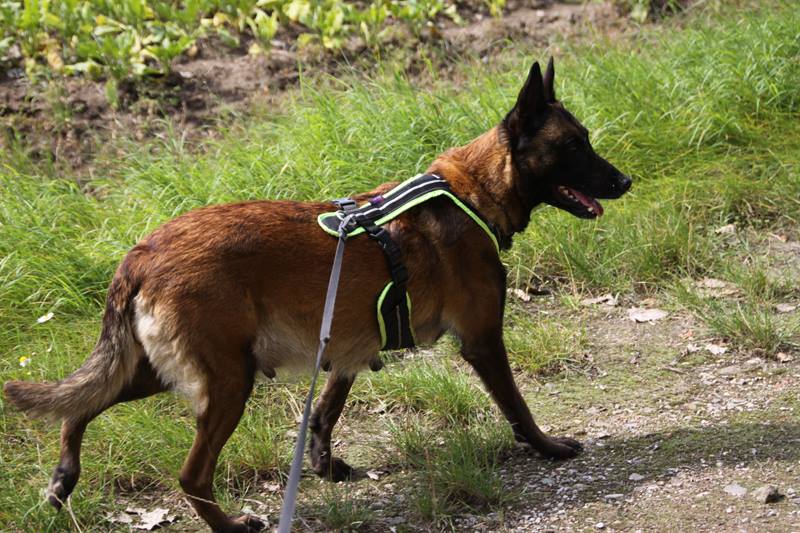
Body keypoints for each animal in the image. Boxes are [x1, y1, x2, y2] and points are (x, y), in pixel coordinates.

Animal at [4, 58, 630, 532]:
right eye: (574, 146)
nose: (625, 181)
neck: (472, 192)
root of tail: (142, 252)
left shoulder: (347, 345)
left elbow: (327, 409)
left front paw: (326, 464)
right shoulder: (482, 341)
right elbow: (517, 406)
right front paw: (547, 447)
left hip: (162, 369)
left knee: (82, 404)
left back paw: (63, 479)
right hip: (227, 382)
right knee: (191, 475)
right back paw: (229, 525)